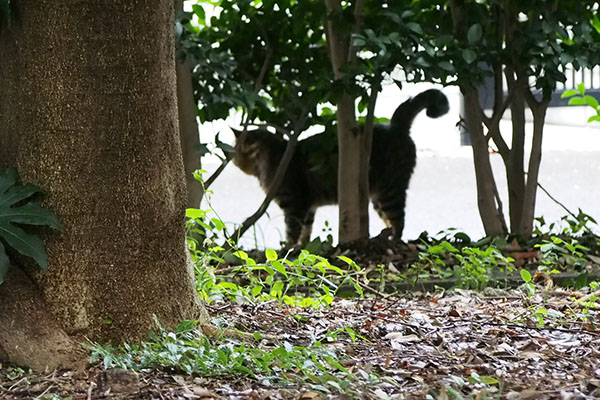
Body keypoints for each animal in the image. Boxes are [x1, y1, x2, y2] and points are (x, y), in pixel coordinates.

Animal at [232, 89, 448, 245]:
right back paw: (384, 236)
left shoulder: (295, 205)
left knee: (399, 221)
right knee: (391, 221)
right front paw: (301, 248)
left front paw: (287, 250)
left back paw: (393, 241)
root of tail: (396, 126)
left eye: (237, 154)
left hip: (390, 191)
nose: (235, 162)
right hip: (377, 197)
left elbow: (292, 232)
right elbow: (306, 232)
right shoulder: (308, 208)